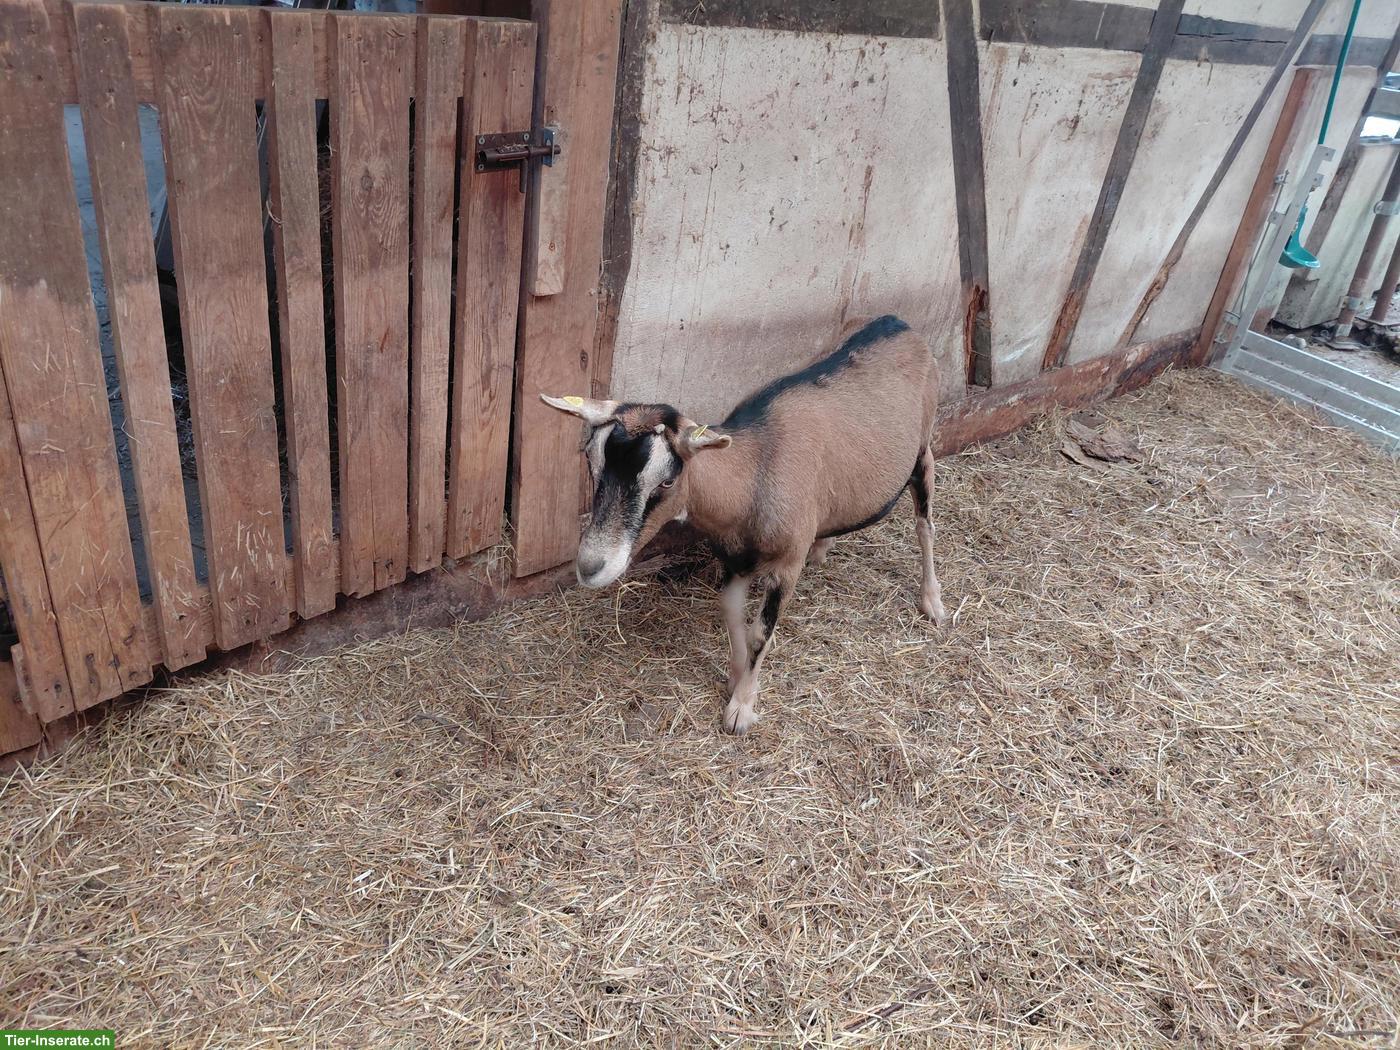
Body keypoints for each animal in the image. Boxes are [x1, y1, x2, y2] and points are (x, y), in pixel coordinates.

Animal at [542, 314, 949, 734]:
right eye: (591, 461)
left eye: (667, 481)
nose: (590, 567)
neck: (755, 473)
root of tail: (897, 323)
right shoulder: (735, 560)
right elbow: (732, 616)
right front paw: (735, 679)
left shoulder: (786, 564)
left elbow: (759, 634)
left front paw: (741, 707)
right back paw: (823, 548)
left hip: (923, 453)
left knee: (926, 527)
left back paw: (933, 602)